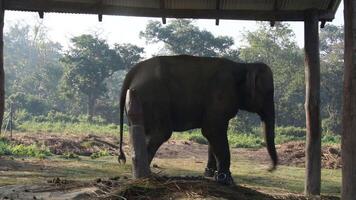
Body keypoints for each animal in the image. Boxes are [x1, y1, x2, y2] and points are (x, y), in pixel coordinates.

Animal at [119, 54, 278, 184]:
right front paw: (226, 180)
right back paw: (145, 176)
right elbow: (212, 130)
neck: (243, 65)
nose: (269, 169)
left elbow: (212, 134)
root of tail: (133, 72)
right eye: (269, 92)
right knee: (160, 133)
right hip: (154, 97)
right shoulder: (220, 93)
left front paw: (209, 174)